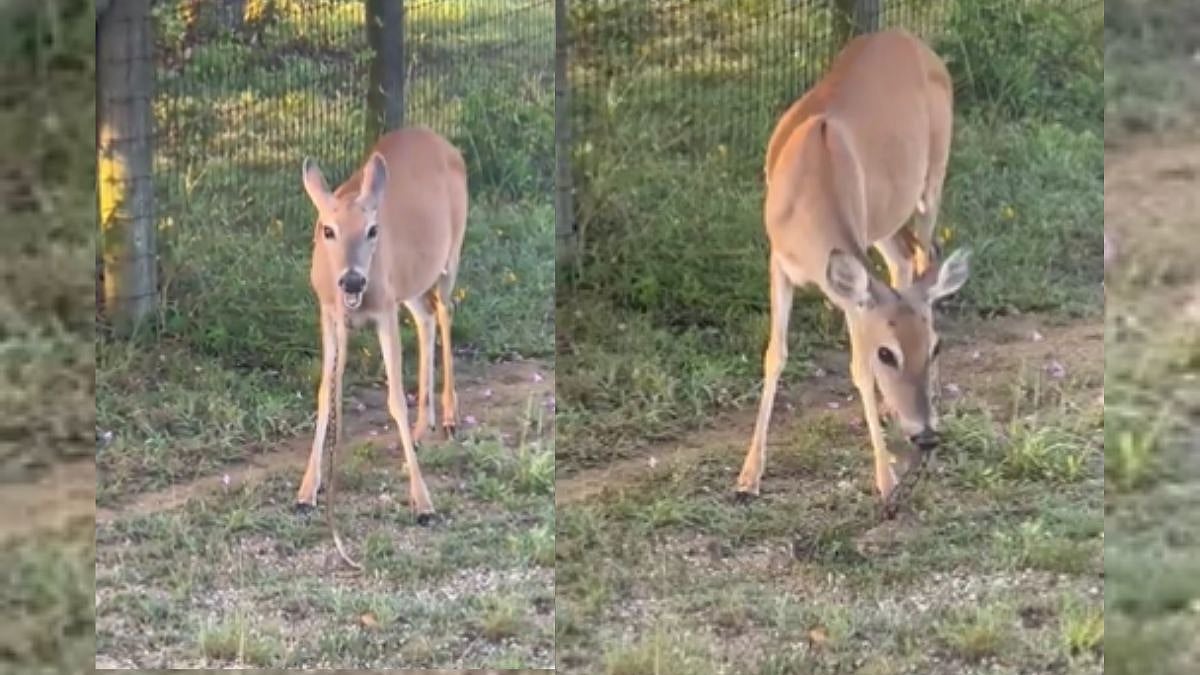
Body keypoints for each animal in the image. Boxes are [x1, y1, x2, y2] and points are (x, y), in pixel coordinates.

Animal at [296, 126, 468, 566]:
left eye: (373, 230)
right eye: (327, 229)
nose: (354, 280)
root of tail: (440, 139)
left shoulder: (384, 311)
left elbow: (393, 398)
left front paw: (423, 503)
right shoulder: (330, 314)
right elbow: (325, 395)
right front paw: (307, 491)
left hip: (450, 253)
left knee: (445, 311)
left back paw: (449, 416)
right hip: (411, 283)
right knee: (426, 317)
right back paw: (423, 428)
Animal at [736, 29, 971, 514]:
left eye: (936, 347)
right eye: (888, 353)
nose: (927, 436)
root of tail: (911, 38)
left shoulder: (848, 281)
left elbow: (857, 370)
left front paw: (887, 483)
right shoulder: (779, 260)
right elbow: (775, 354)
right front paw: (748, 477)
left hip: (932, 178)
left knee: (925, 256)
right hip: (884, 218)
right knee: (905, 260)